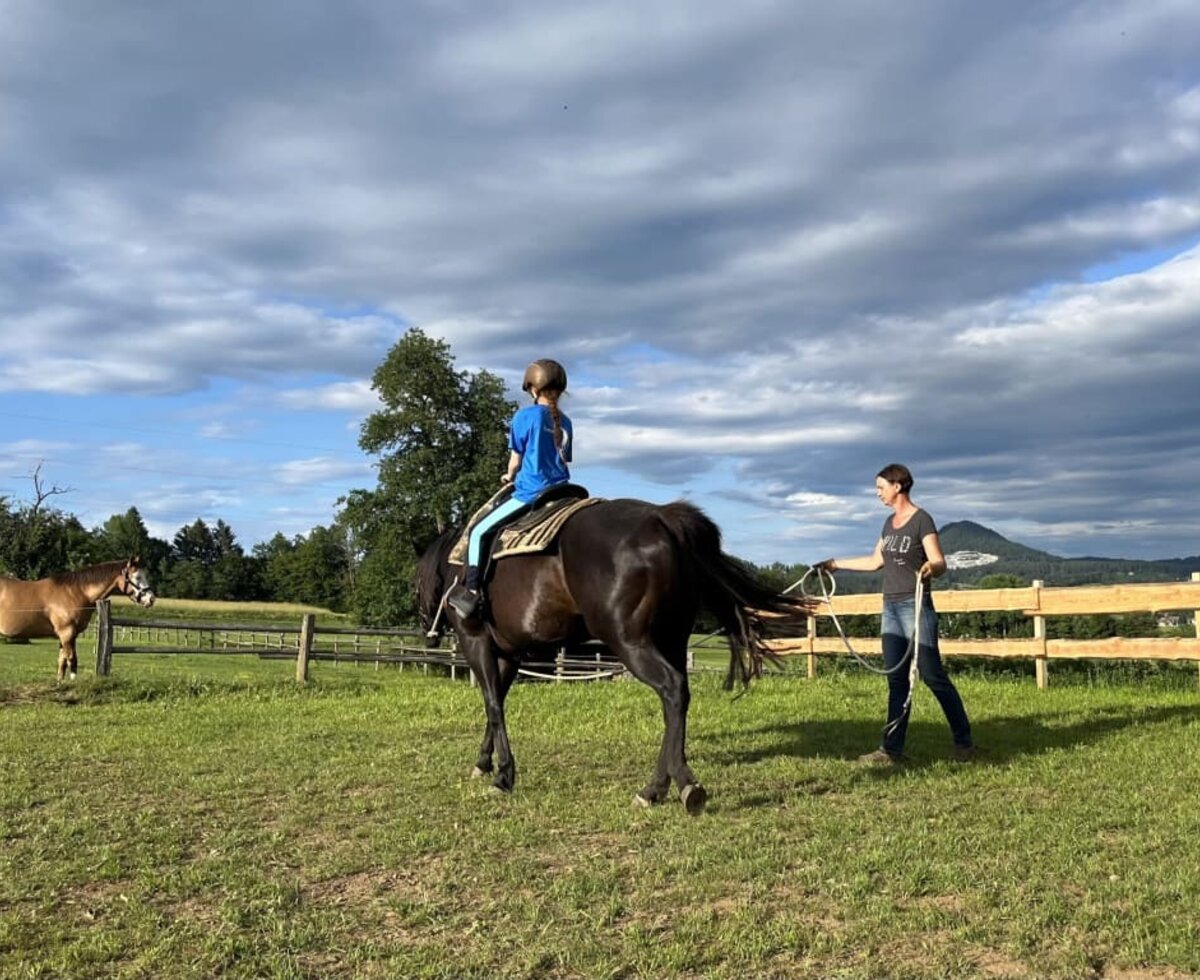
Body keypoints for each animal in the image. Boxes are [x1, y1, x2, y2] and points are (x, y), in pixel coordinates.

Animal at [0, 554, 156, 686]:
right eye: (137, 577)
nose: (151, 599)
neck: (75, 592)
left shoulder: (70, 635)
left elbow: (62, 662)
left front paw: (60, 685)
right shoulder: (66, 632)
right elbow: (72, 660)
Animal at [415, 496, 816, 810]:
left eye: (415, 581)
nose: (427, 630)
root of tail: (663, 518)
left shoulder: (477, 642)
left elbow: (493, 706)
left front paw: (503, 776)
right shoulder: (510, 653)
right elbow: (494, 702)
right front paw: (485, 763)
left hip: (630, 642)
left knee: (672, 689)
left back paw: (670, 786)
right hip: (671, 638)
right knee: (677, 699)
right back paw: (664, 785)